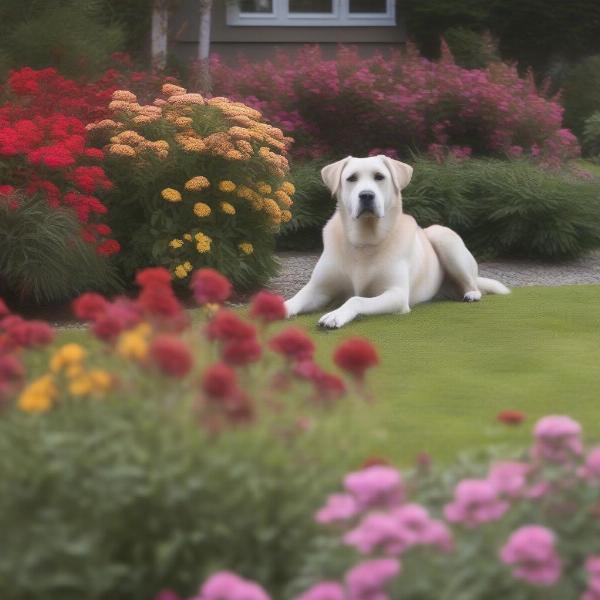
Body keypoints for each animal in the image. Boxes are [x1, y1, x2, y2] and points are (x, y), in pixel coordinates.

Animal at [284, 155, 508, 328]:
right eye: (352, 178)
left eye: (379, 177)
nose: (366, 195)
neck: (364, 241)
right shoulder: (318, 288)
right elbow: (296, 298)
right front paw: (283, 308)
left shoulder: (397, 294)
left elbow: (356, 299)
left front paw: (335, 315)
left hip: (443, 237)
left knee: (473, 284)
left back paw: (472, 295)